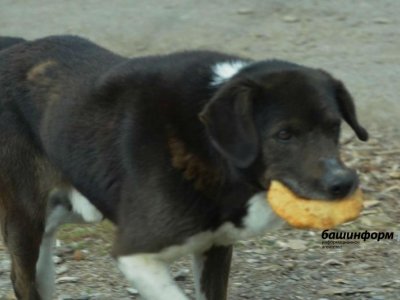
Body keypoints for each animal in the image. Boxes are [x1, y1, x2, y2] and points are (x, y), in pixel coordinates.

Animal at [0, 36, 368, 298]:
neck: (209, 143)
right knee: (22, 279)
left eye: (334, 127)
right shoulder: (135, 253)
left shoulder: (215, 247)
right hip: (26, 218)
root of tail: (13, 45)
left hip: (65, 213)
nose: (343, 184)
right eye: (284, 134)